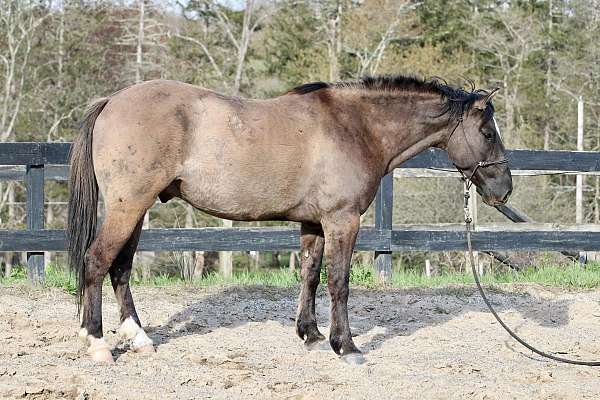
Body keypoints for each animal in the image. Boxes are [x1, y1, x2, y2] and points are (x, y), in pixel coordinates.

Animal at [69, 73, 510, 364]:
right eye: (487, 132)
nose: (503, 189)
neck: (355, 127)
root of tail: (112, 101)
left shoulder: (314, 224)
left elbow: (310, 276)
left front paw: (311, 335)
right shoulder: (342, 221)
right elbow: (339, 283)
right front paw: (345, 346)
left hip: (136, 209)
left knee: (121, 268)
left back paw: (139, 338)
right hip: (128, 207)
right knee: (96, 261)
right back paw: (97, 343)